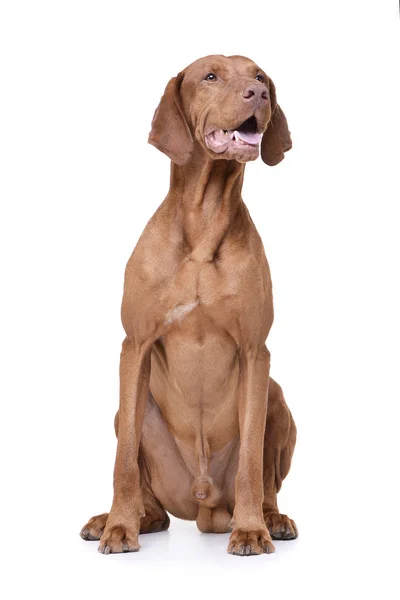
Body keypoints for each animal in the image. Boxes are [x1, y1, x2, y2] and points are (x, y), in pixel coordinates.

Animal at [79, 54, 296, 556]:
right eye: (210, 76)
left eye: (259, 75)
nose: (259, 95)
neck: (204, 222)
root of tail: (203, 503)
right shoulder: (134, 346)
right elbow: (122, 462)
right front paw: (120, 527)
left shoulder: (256, 353)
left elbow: (251, 460)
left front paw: (251, 528)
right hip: (133, 418)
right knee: (152, 503)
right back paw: (121, 519)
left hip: (277, 399)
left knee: (266, 479)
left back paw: (270, 519)